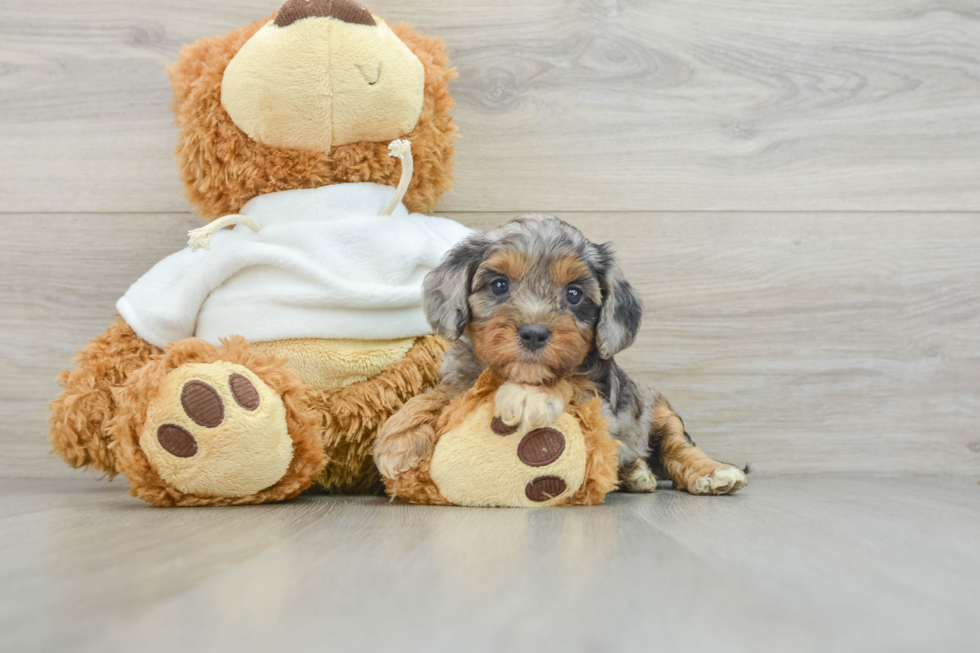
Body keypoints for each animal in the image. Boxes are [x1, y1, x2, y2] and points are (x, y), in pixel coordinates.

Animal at [376, 214, 752, 494]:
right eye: (498, 285)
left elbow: (569, 383)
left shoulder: (602, 401)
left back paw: (710, 472)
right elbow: (439, 395)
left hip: (657, 408)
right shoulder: (463, 379)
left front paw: (530, 396)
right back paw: (635, 474)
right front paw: (399, 435)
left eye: (573, 294)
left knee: (677, 445)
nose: (534, 333)